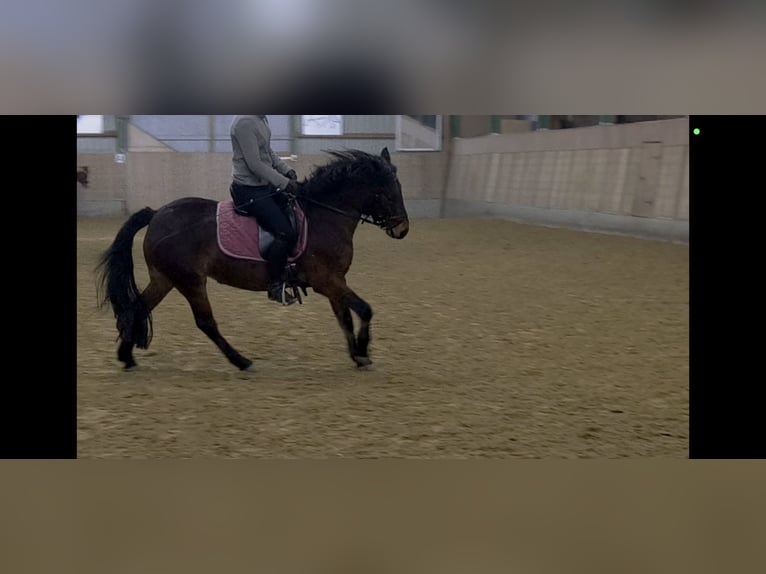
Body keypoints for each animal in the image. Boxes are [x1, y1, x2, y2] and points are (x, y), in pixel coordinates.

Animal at [96, 147, 410, 372]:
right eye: (388, 193)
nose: (403, 229)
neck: (323, 216)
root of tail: (158, 213)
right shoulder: (326, 280)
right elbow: (365, 309)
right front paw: (364, 352)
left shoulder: (335, 281)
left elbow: (344, 317)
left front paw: (356, 355)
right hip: (190, 281)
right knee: (205, 322)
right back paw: (242, 361)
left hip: (165, 278)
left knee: (137, 307)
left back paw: (127, 357)